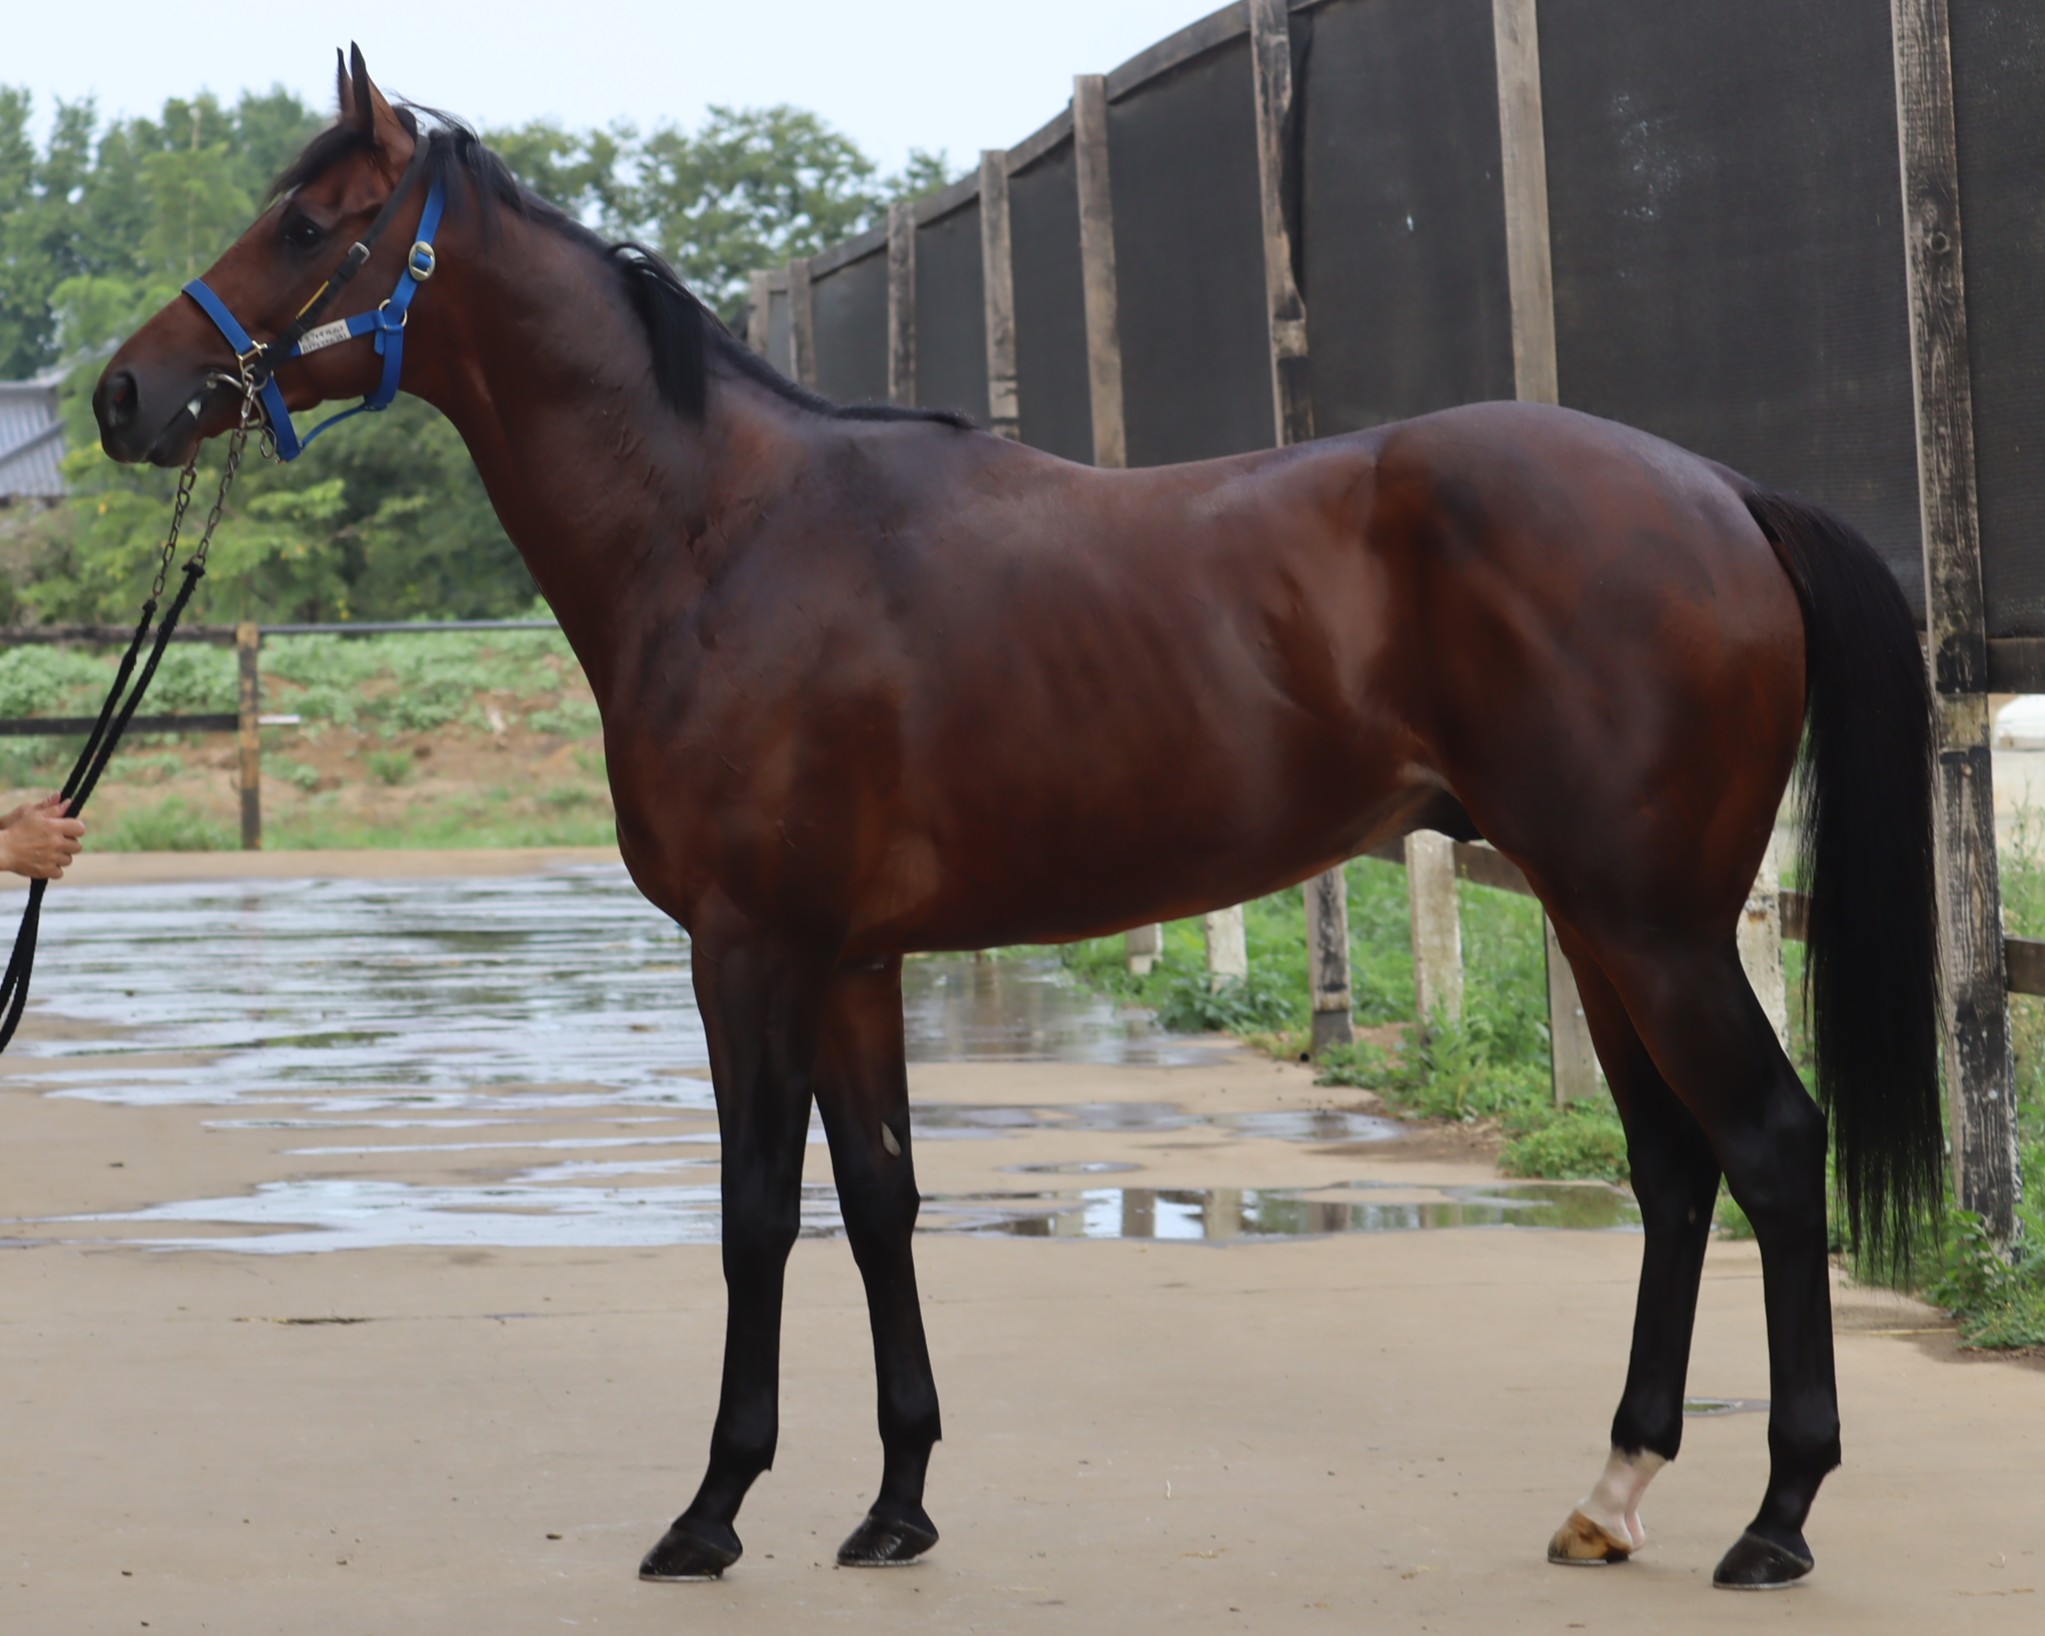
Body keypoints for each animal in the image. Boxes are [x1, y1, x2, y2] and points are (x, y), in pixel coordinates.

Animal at [92, 49, 1942, 1595]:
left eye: (307, 223)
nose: (123, 394)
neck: (718, 532)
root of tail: (1723, 494)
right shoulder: (850, 964)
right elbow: (883, 1200)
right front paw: (896, 1506)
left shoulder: (751, 953)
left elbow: (757, 1209)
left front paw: (713, 1512)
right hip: (1592, 915)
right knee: (1675, 1167)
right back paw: (1613, 1495)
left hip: (1649, 922)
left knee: (1771, 1147)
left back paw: (1777, 1519)